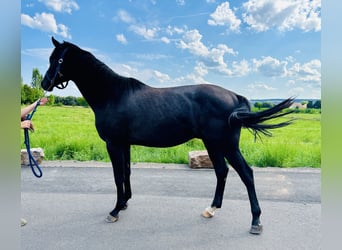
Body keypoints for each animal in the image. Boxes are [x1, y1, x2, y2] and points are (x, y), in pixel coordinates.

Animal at [42, 37, 294, 234]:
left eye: (58, 60)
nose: (45, 82)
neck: (113, 95)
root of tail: (234, 96)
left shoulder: (113, 144)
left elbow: (117, 176)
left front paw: (115, 210)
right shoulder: (125, 144)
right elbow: (127, 173)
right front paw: (125, 203)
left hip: (225, 145)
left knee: (246, 174)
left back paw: (256, 221)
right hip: (213, 144)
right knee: (222, 172)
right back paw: (211, 209)